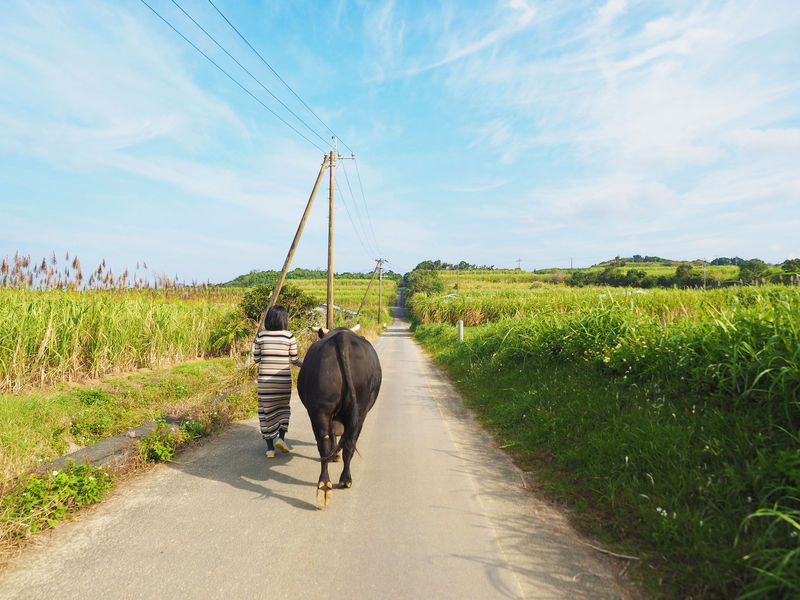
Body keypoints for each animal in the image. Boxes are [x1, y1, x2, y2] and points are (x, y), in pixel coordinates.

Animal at [296, 328, 382, 506]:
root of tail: (342, 337)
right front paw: (335, 456)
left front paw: (334, 455)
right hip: (358, 411)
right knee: (345, 444)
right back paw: (342, 480)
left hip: (322, 411)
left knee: (327, 444)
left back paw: (326, 485)